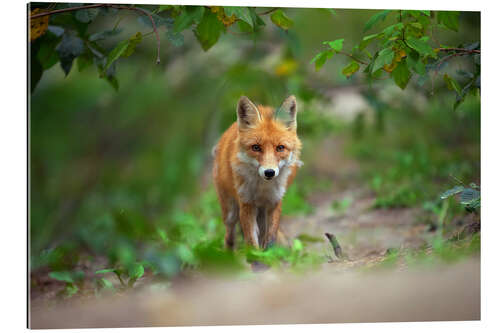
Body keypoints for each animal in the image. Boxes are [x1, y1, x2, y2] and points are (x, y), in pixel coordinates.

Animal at [213, 94, 302, 248]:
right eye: (256, 147)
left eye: (280, 148)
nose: (269, 172)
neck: (262, 188)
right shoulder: (246, 203)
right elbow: (251, 241)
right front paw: (254, 254)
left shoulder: (274, 201)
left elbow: (270, 239)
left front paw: (269, 253)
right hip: (230, 212)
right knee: (229, 236)